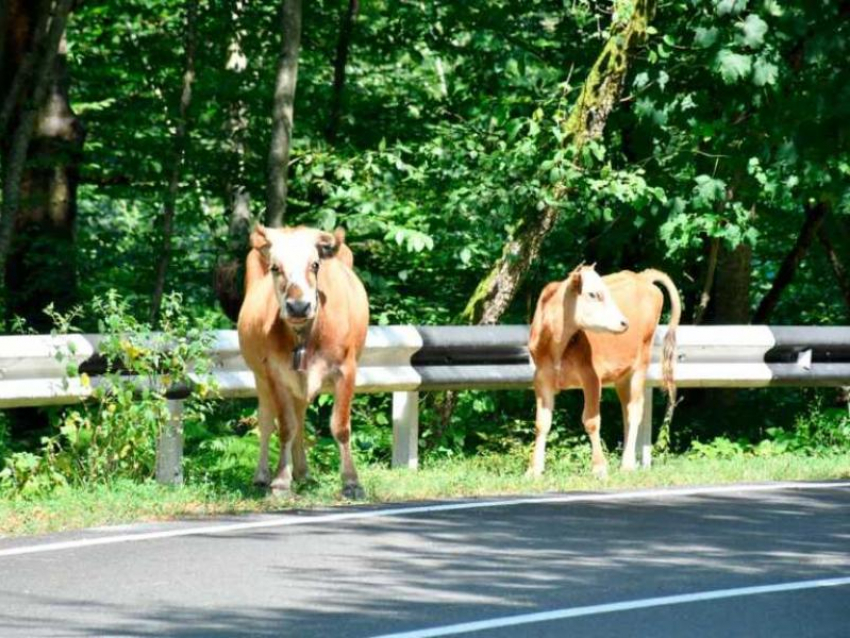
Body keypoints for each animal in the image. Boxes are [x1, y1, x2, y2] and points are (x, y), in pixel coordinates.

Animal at [238, 225, 372, 500]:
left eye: (315, 264)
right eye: (275, 267)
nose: (298, 306)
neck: (305, 336)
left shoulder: (347, 370)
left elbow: (340, 427)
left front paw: (352, 483)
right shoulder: (275, 374)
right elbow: (285, 427)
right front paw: (280, 481)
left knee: (300, 417)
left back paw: (303, 473)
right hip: (260, 378)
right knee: (267, 421)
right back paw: (263, 476)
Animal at [528, 264, 680, 480]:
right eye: (593, 294)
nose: (624, 322)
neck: (557, 343)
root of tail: (641, 277)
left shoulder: (591, 376)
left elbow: (591, 421)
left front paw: (599, 467)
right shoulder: (541, 379)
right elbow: (542, 423)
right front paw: (534, 469)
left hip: (640, 364)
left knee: (635, 410)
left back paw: (627, 464)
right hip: (622, 376)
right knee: (626, 411)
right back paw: (627, 459)